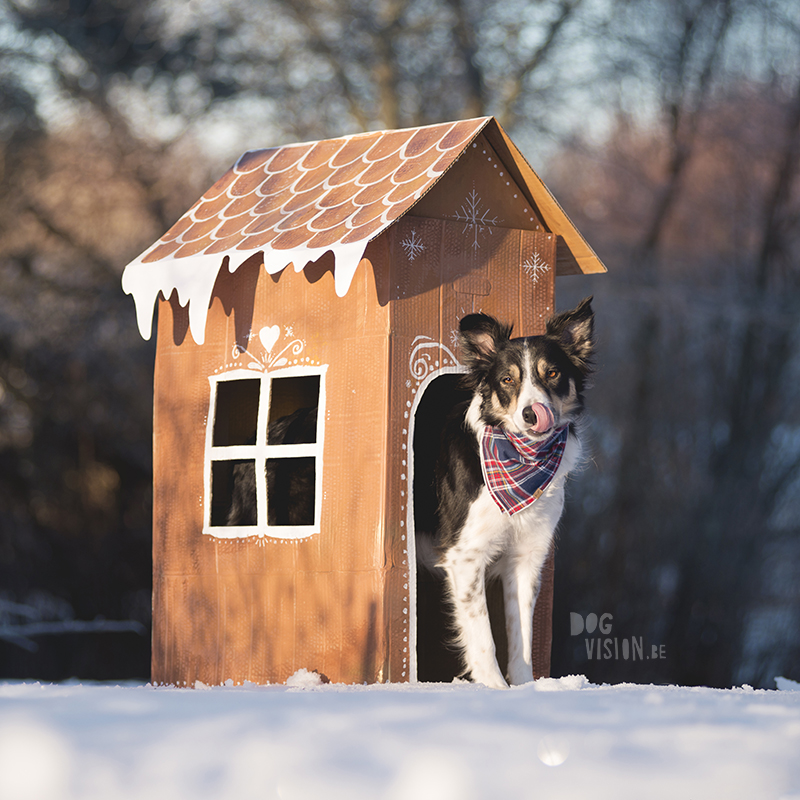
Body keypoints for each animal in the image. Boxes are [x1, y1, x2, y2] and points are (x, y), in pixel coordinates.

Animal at [428, 300, 592, 688]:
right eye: (507, 379)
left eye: (552, 374)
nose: (533, 414)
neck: (523, 461)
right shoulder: (465, 555)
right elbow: (483, 635)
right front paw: (493, 688)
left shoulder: (527, 554)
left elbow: (522, 634)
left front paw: (523, 688)